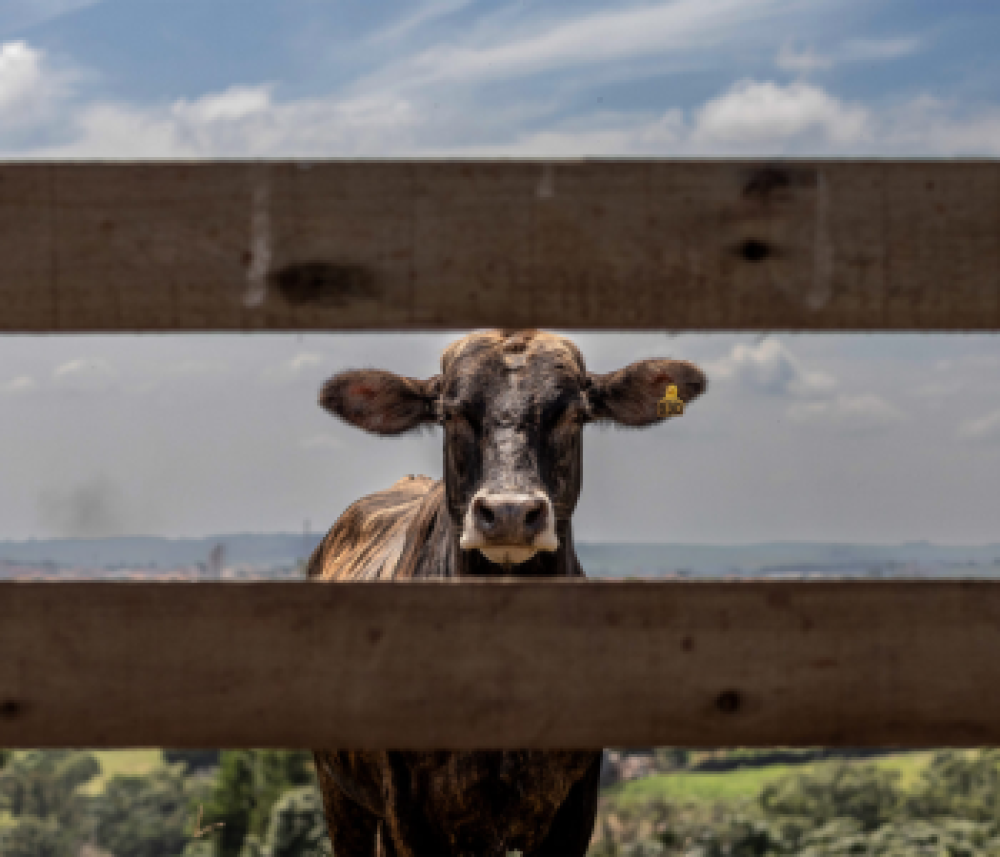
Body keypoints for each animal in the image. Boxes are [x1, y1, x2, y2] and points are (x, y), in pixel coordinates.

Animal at [308, 330, 708, 856]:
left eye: (573, 414)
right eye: (452, 413)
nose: (511, 513)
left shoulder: (573, 810)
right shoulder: (407, 817)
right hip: (341, 796)